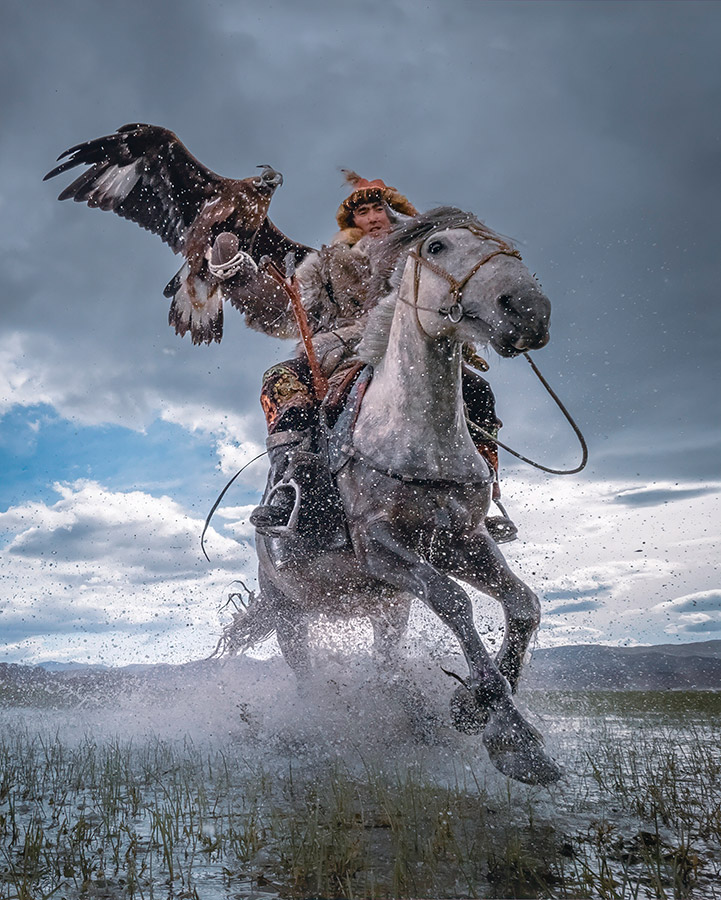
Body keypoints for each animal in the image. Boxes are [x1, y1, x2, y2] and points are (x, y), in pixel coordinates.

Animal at [222, 207, 560, 784]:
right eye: (438, 247)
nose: (528, 309)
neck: (413, 436)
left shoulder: (461, 541)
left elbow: (523, 604)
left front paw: (472, 709)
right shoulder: (378, 545)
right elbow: (454, 599)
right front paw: (512, 734)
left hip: (387, 610)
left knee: (385, 664)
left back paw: (408, 715)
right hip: (289, 613)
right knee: (305, 675)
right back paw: (310, 727)